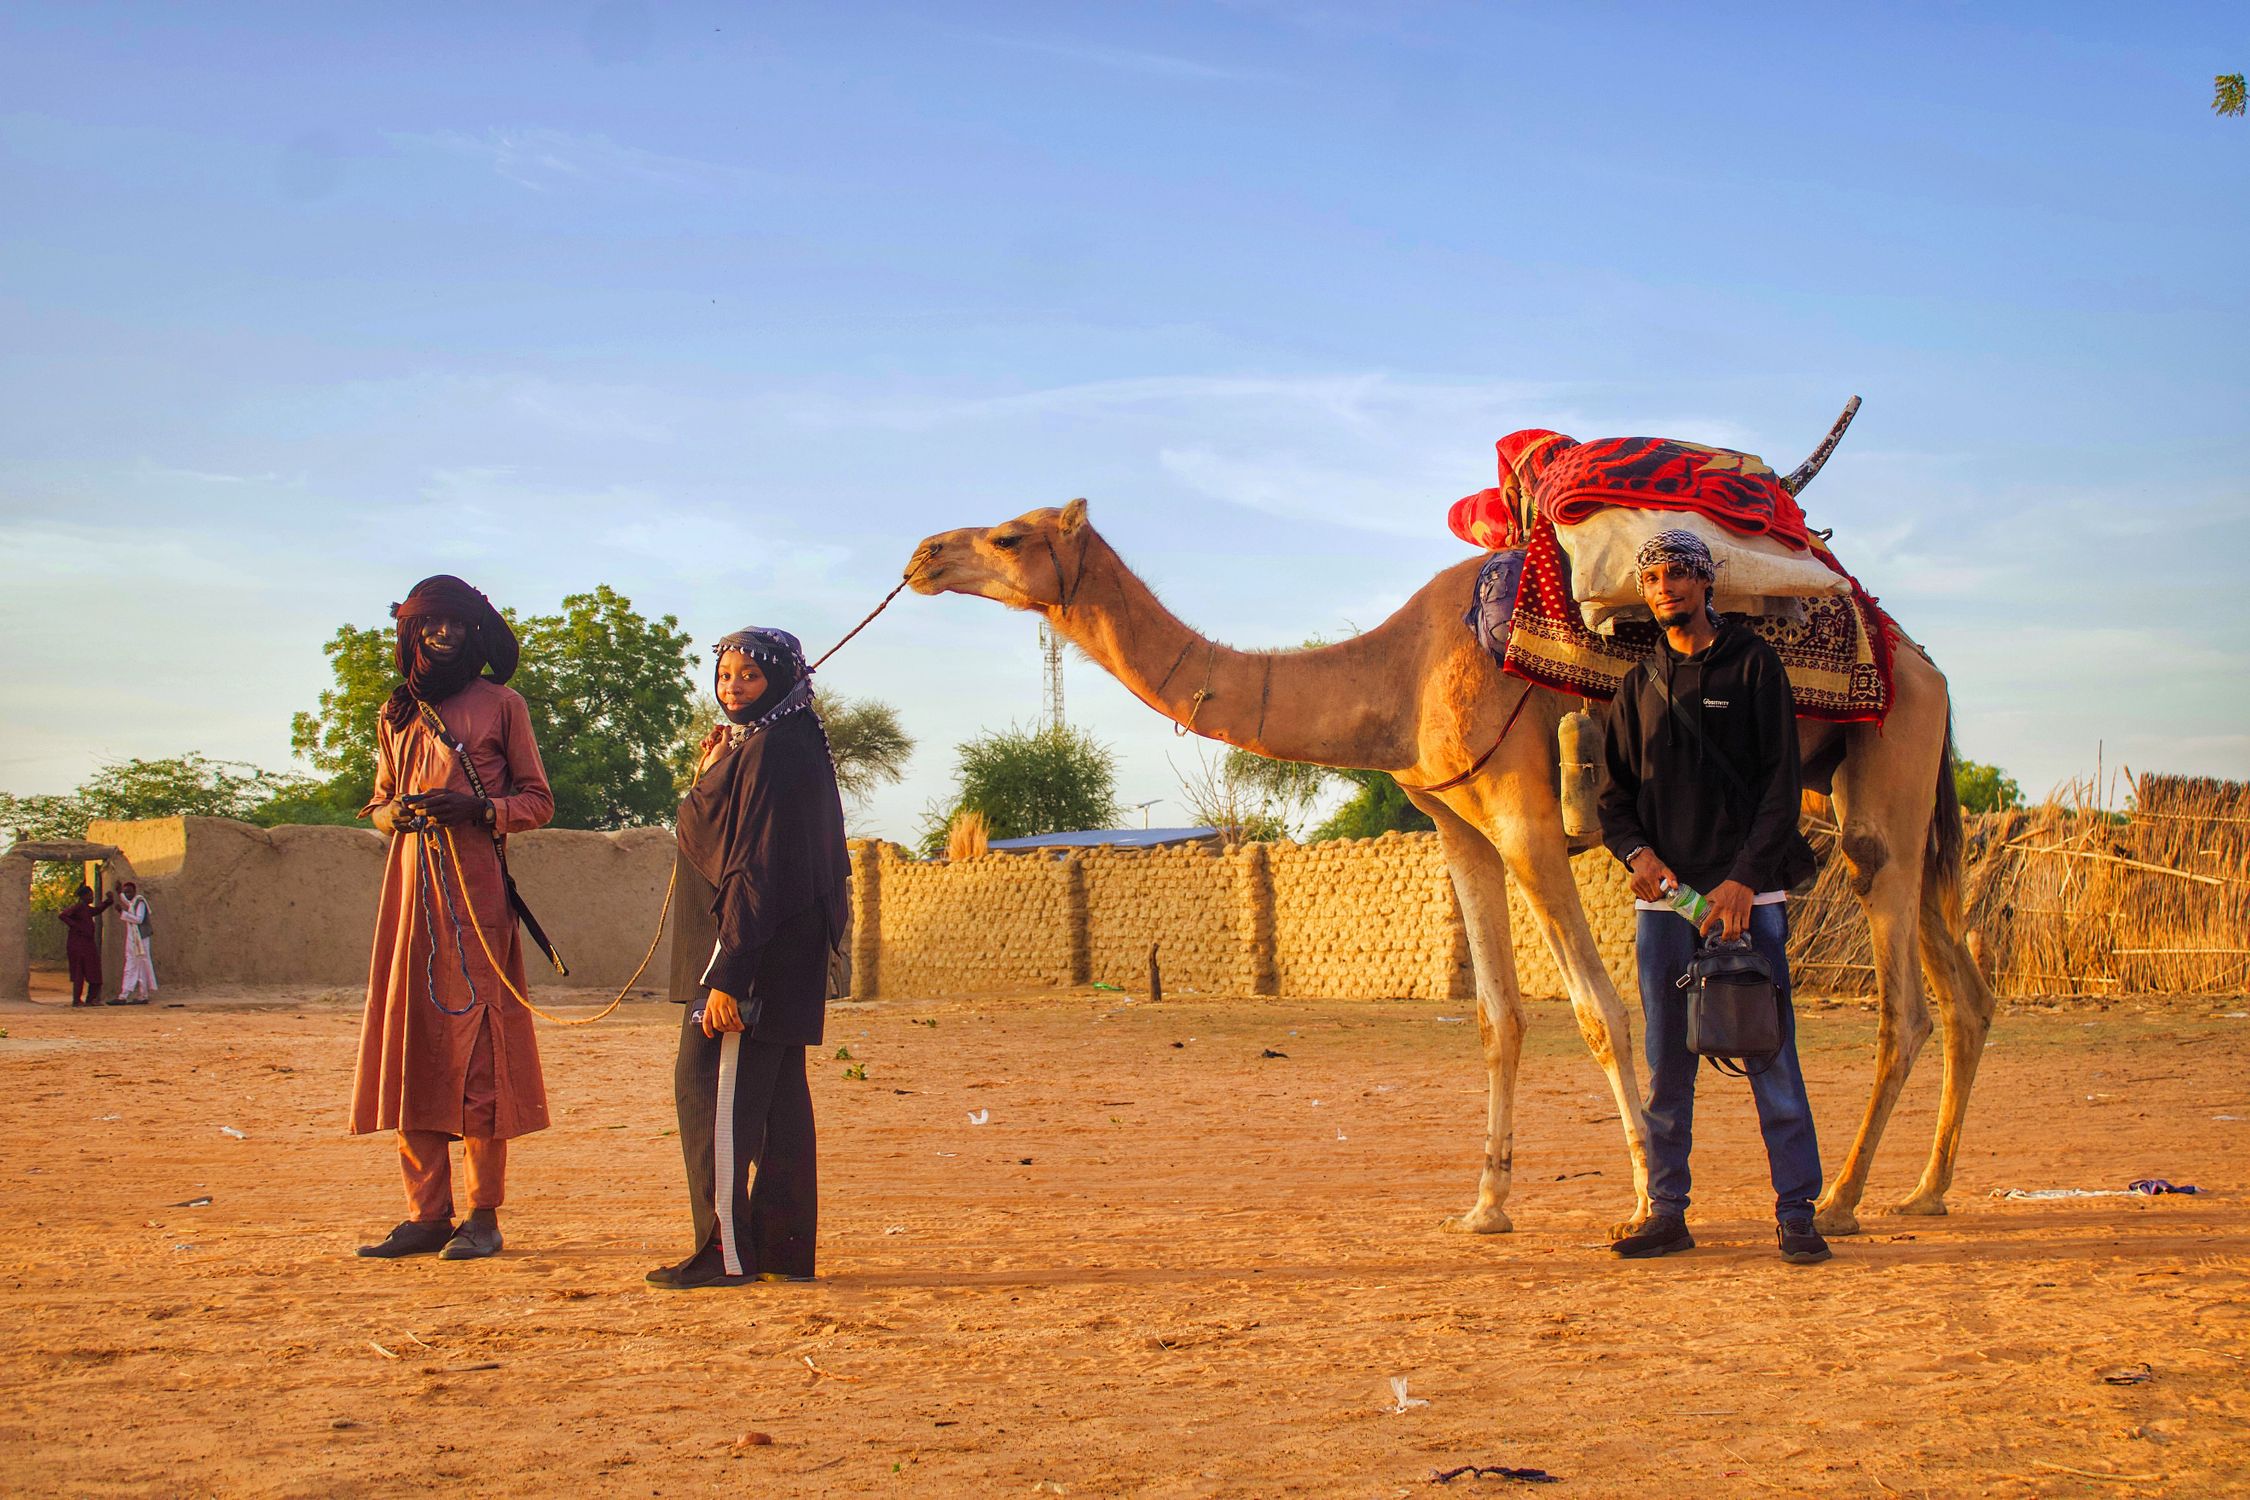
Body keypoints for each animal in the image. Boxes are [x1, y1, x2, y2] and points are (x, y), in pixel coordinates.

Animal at [908, 499, 1998, 1237]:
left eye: (1010, 536)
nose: (922, 554)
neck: (1397, 675)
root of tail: (1928, 665)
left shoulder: (1524, 818)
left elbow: (1600, 1012)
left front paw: (1644, 1200)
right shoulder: (1460, 828)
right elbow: (1497, 1017)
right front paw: (1486, 1205)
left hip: (1885, 776)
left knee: (1901, 996)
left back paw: (1847, 1199)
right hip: (1875, 793)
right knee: (1965, 991)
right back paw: (1927, 1190)